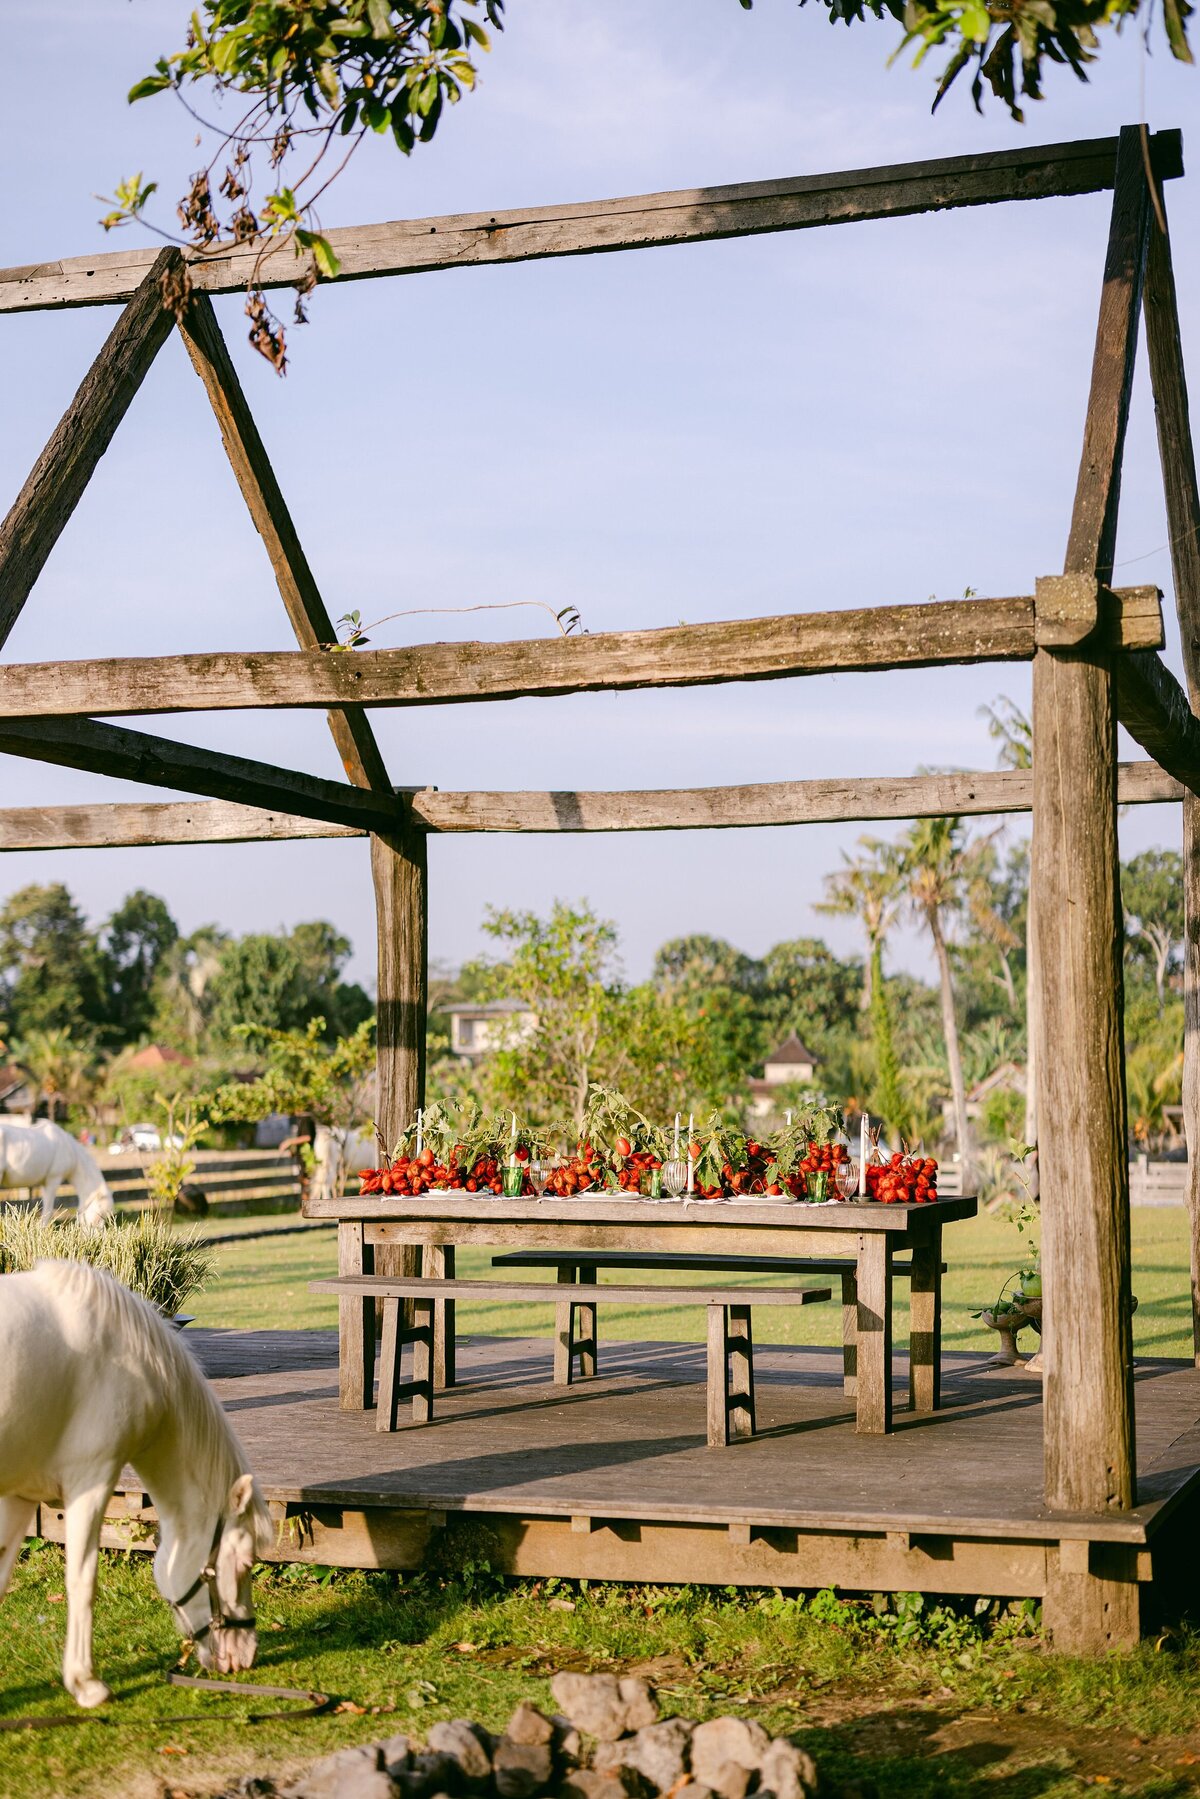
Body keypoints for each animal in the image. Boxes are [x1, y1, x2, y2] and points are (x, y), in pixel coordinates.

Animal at [0, 1259, 271, 1705]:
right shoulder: (91, 1480)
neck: (126, 1351)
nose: (245, 1656)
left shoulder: (20, 1494)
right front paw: (86, 1683)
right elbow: (82, 1580)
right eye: (246, 1562)